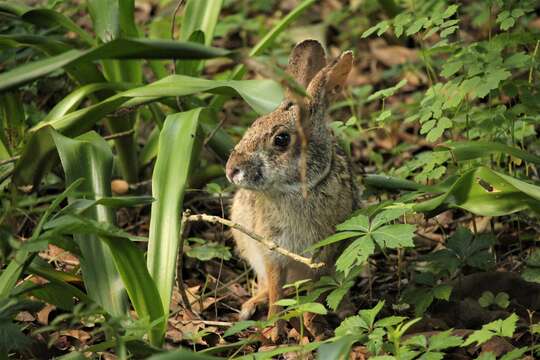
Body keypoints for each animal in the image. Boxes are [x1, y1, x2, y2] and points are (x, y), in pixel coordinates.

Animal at [225, 39, 358, 340]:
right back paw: (252, 305)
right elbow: (276, 290)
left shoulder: (322, 257)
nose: (231, 170)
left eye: (281, 139)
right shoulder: (271, 250)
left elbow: (314, 296)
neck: (296, 190)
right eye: (253, 125)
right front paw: (274, 331)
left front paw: (313, 328)